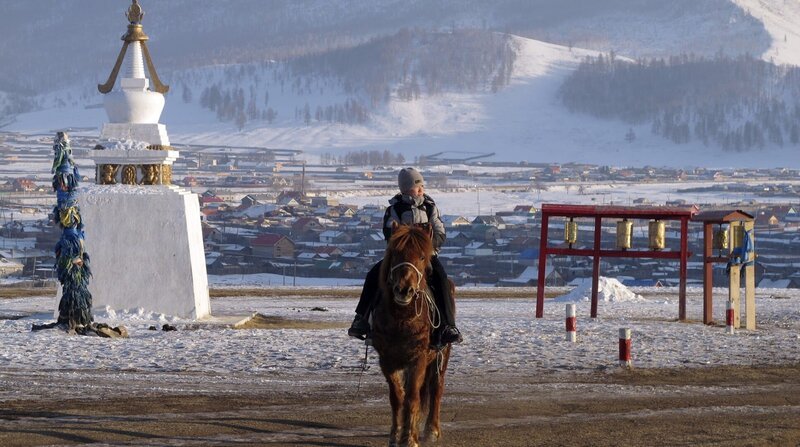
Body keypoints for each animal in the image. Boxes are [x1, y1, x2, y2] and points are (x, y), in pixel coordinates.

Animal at [372, 224, 454, 447]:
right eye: (395, 253)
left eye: (422, 256)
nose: (404, 290)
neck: (402, 319)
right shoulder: (387, 360)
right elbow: (397, 397)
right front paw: (396, 435)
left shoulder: (418, 359)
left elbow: (412, 398)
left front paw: (410, 439)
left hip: (443, 355)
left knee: (436, 388)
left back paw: (432, 430)